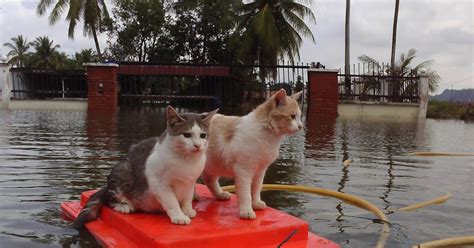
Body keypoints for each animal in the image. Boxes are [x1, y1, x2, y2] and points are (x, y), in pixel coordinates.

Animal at [72, 105, 218, 227]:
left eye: (203, 135)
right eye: (187, 135)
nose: (198, 145)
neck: (187, 161)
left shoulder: (190, 182)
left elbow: (187, 198)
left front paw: (187, 210)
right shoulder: (160, 184)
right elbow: (171, 201)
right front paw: (179, 216)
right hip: (121, 171)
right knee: (108, 198)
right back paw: (123, 206)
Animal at [203, 88, 300, 219]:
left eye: (299, 117)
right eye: (292, 116)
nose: (301, 126)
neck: (266, 134)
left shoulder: (260, 171)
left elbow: (256, 189)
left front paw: (256, 203)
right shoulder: (244, 171)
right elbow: (245, 194)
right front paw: (247, 210)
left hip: (214, 165)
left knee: (209, 180)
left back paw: (219, 195)